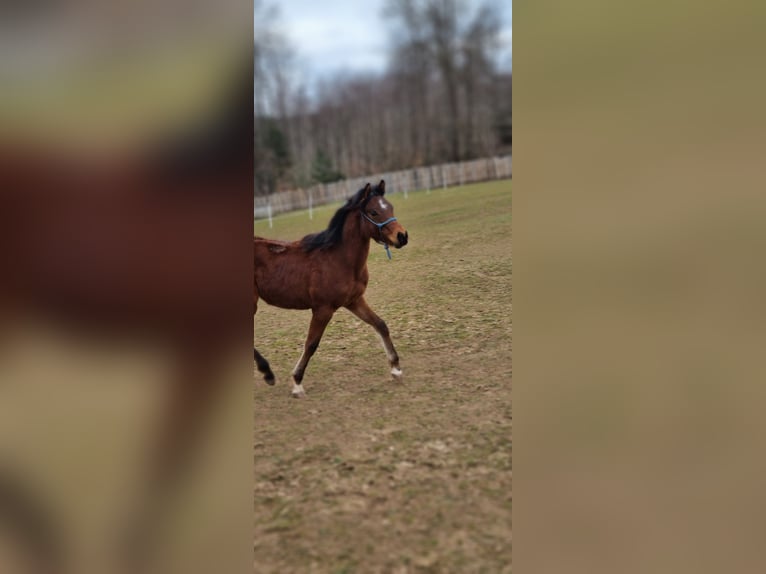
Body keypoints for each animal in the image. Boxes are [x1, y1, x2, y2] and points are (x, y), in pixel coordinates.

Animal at [254, 182, 412, 398]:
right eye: (374, 212)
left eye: (390, 207)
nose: (402, 236)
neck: (339, 258)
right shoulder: (323, 309)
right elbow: (311, 344)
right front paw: (297, 383)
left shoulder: (354, 301)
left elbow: (380, 325)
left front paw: (396, 369)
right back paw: (267, 373)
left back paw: (267, 373)